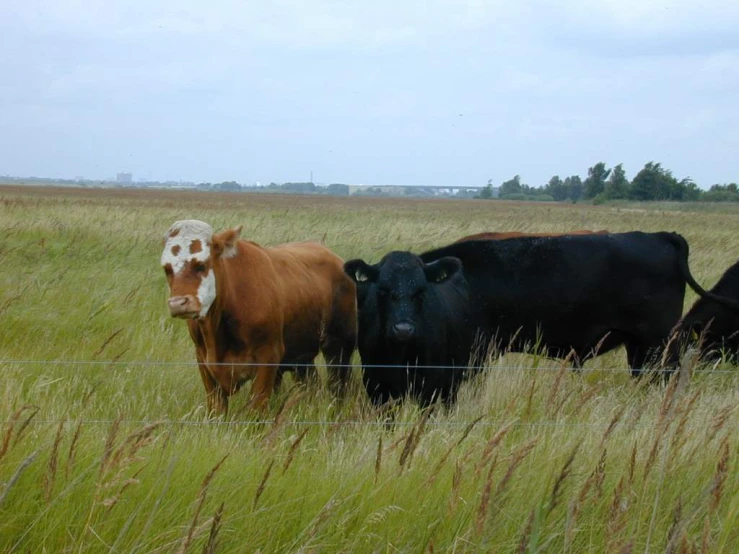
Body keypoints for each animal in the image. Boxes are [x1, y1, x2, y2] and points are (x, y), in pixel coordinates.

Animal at [161, 220, 358, 414]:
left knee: (339, 386)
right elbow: (216, 408)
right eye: (167, 269)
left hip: (338, 347)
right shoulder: (203, 360)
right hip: (302, 352)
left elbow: (256, 407)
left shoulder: (268, 356)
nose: (178, 303)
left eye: (200, 265)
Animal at [344, 251, 476, 406]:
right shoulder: (373, 380)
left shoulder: (431, 380)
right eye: (382, 290)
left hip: (456, 373)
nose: (403, 330)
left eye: (421, 290)